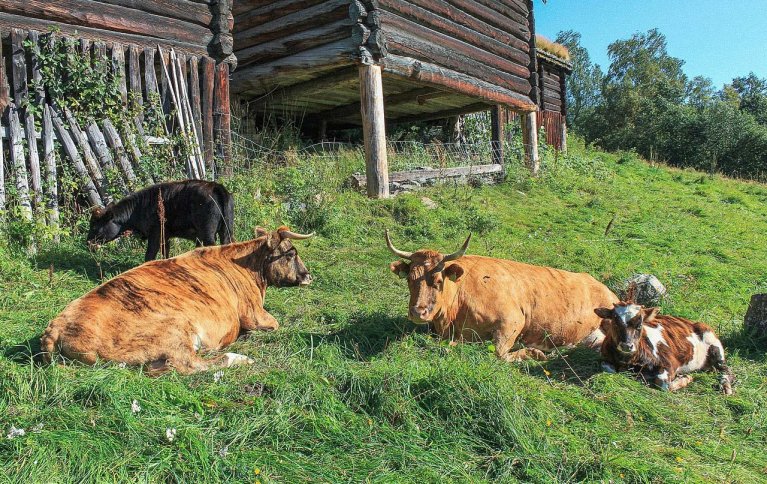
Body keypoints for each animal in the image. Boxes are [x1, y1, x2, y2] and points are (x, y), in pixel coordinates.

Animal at [41, 227, 316, 374]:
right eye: (291, 253)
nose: (308, 276)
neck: (247, 267)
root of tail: (56, 328)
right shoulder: (255, 314)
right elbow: (274, 324)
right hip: (175, 330)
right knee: (189, 364)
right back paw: (238, 358)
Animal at [388, 233, 620, 362]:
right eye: (410, 279)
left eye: (438, 281)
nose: (418, 312)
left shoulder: (512, 321)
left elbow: (497, 353)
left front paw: (533, 353)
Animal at [596, 296, 736, 396]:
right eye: (615, 322)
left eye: (639, 325)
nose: (627, 345)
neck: (629, 361)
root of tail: (693, 322)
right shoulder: (605, 359)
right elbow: (608, 368)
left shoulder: (669, 363)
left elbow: (663, 385)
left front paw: (685, 378)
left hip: (714, 344)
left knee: (726, 370)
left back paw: (725, 387)